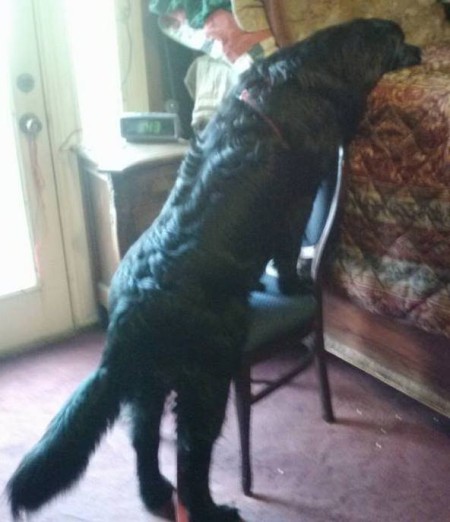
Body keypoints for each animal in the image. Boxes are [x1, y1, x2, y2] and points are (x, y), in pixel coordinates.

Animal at [6, 18, 422, 520]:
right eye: (398, 39)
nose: (421, 51)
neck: (304, 75)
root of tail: (129, 317)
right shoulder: (295, 204)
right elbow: (286, 253)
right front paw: (293, 283)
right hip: (206, 379)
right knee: (190, 454)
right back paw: (210, 508)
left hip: (149, 385)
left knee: (144, 439)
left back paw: (155, 494)